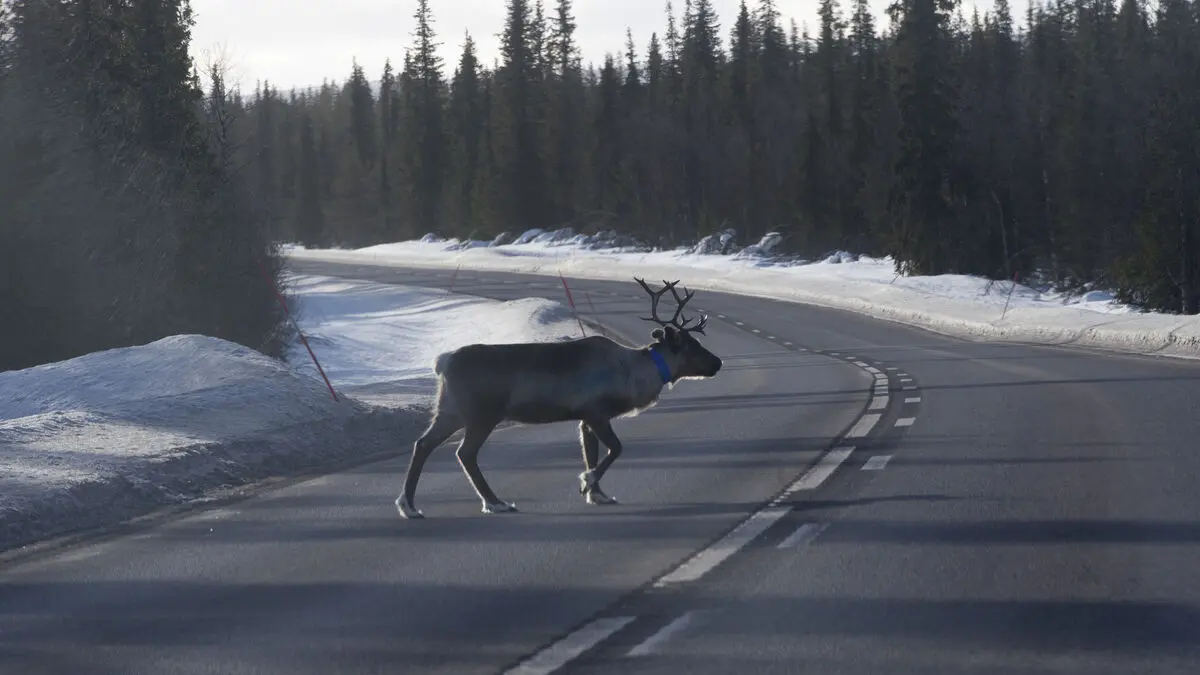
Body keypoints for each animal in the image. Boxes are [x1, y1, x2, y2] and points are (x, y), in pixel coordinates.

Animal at [395, 277, 723, 519]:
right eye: (691, 345)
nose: (718, 362)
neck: (633, 371)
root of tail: (443, 362)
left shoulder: (584, 419)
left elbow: (592, 453)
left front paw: (598, 495)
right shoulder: (596, 412)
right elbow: (615, 449)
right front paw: (586, 482)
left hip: (449, 410)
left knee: (422, 444)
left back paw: (409, 506)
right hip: (482, 414)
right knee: (465, 453)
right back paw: (496, 503)